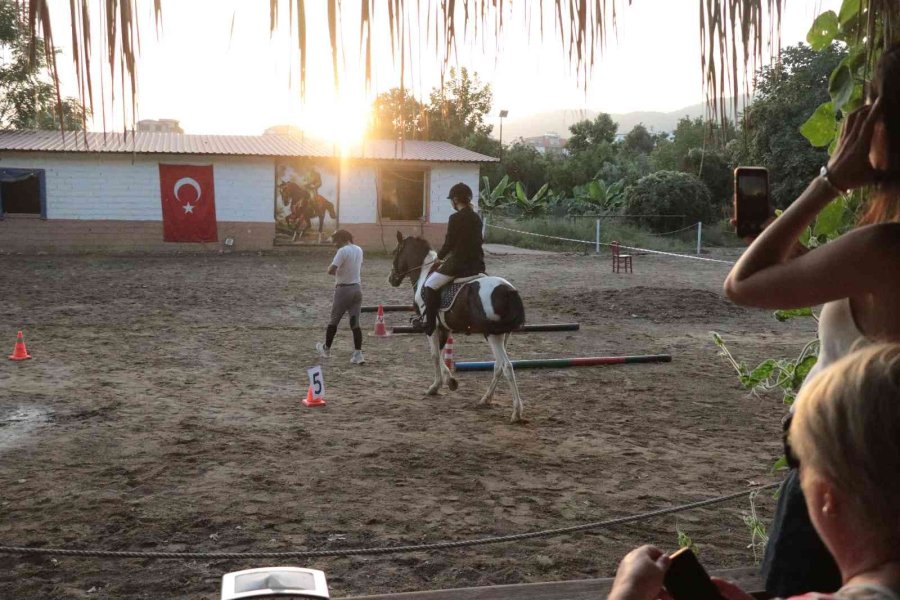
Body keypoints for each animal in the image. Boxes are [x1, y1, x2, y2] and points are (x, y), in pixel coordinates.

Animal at [388, 230, 528, 422]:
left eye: (395, 252)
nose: (391, 279)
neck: (425, 274)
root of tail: (508, 290)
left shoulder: (431, 327)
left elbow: (434, 355)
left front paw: (437, 386)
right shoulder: (444, 328)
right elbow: (440, 354)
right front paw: (450, 381)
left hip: (493, 335)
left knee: (506, 366)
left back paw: (516, 412)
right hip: (504, 334)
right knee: (498, 366)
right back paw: (486, 399)